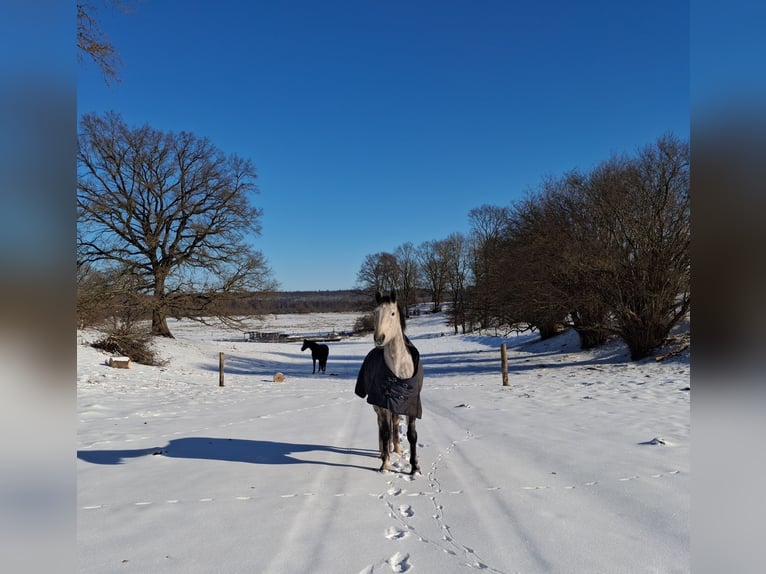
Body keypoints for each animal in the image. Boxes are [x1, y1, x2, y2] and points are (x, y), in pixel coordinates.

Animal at [355, 290, 423, 474]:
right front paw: (385, 465)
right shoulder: (383, 404)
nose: (379, 338)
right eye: (375, 313)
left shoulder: (411, 405)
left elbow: (412, 435)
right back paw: (383, 453)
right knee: (381, 427)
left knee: (395, 423)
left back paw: (397, 449)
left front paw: (415, 468)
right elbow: (385, 432)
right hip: (378, 407)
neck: (399, 369)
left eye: (392, 313)